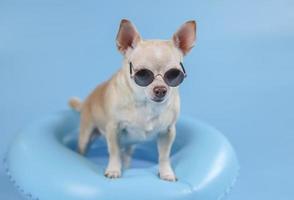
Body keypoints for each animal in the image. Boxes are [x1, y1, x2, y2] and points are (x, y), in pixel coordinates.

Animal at [69, 19, 196, 181]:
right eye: (142, 74)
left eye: (174, 74)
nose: (161, 89)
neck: (146, 104)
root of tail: (87, 100)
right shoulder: (113, 129)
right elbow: (114, 152)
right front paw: (113, 170)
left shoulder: (167, 132)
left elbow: (164, 156)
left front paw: (166, 172)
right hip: (86, 135)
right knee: (84, 149)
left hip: (130, 146)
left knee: (127, 156)